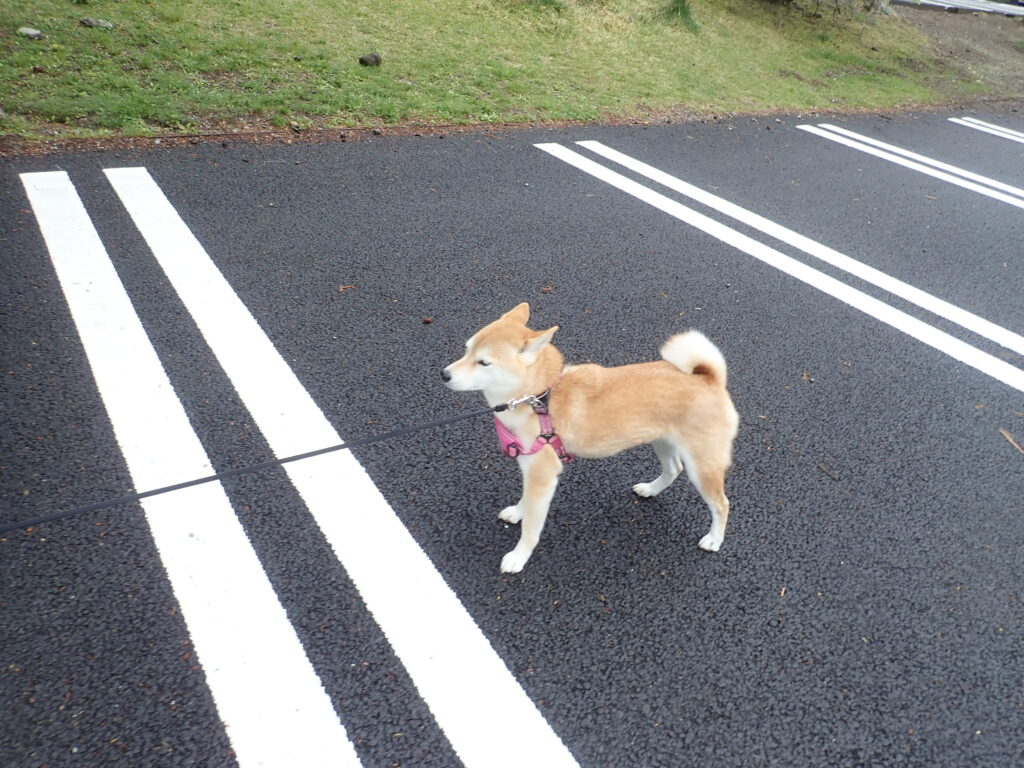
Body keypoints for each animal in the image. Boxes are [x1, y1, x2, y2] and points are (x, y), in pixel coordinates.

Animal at [442, 303, 740, 574]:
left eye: (484, 362)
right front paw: (517, 512)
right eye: (466, 349)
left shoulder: (542, 475)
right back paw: (650, 489)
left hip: (702, 466)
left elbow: (531, 528)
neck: (538, 397)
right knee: (673, 469)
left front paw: (518, 556)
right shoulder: (532, 470)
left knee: (721, 504)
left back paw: (714, 539)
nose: (444, 374)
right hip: (662, 442)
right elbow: (525, 501)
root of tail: (709, 379)